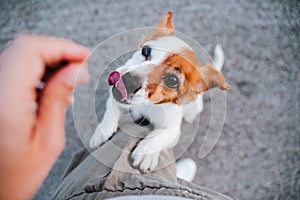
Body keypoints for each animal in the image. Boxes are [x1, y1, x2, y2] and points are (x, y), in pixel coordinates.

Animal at [89, 11, 230, 173]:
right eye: (146, 50)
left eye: (172, 81)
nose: (128, 82)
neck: (147, 105)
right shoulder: (114, 99)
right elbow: (110, 110)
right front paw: (102, 132)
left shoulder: (173, 129)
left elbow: (161, 135)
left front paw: (146, 152)